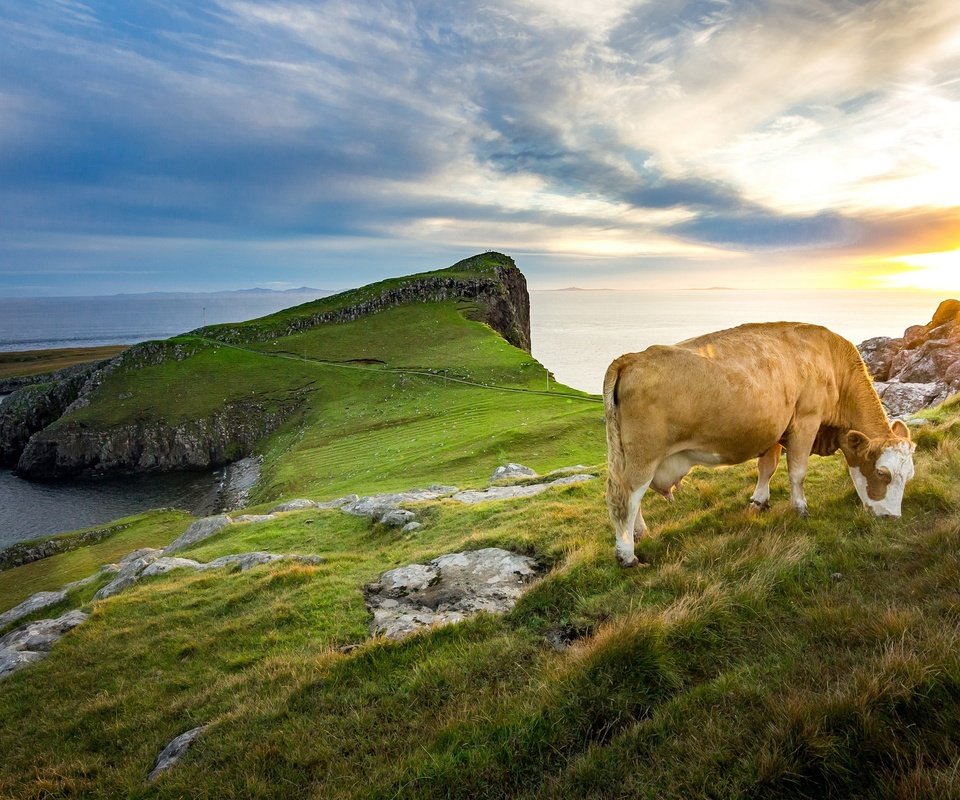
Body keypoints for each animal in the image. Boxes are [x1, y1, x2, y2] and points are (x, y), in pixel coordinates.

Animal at [608, 322, 916, 564]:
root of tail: (630, 359)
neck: (832, 364)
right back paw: (627, 554)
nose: (893, 518)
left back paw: (640, 533)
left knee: (633, 499)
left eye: (909, 475)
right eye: (882, 473)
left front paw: (760, 501)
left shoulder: (776, 430)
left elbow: (767, 467)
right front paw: (801, 509)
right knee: (626, 497)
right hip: (642, 457)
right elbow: (797, 472)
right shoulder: (806, 421)